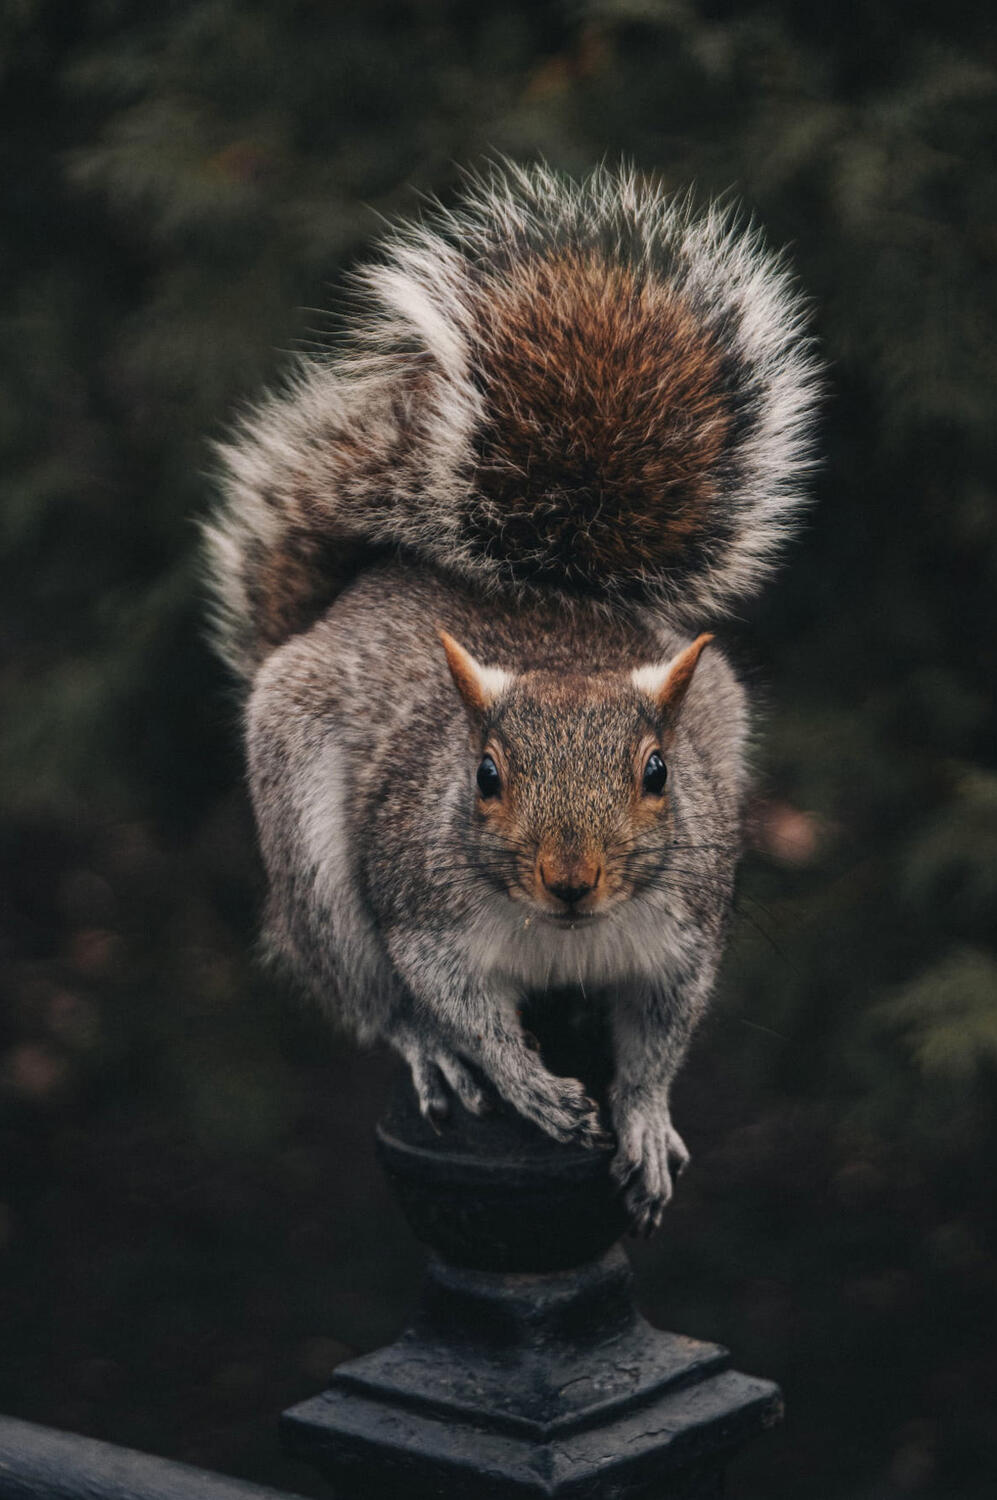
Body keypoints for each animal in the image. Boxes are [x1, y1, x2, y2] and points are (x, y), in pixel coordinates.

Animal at [204, 162, 820, 1235]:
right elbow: (458, 1005)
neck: (562, 937)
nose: (570, 880)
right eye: (484, 776)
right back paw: (429, 1052)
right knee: (371, 996)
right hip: (316, 878)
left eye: (657, 773)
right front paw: (522, 1081)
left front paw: (644, 1119)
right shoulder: (424, 914)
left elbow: (657, 1044)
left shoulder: (685, 938)